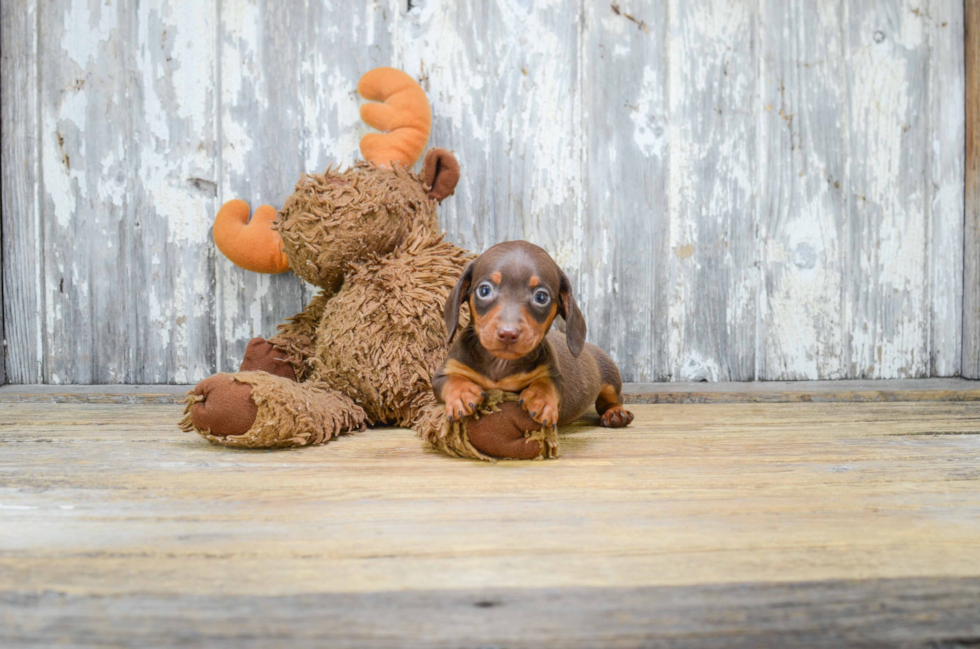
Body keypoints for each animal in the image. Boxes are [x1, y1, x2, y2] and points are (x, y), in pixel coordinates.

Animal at [430, 239, 632, 430]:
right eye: (484, 290)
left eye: (541, 297)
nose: (508, 333)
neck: (500, 364)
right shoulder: (444, 372)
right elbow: (452, 379)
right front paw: (462, 394)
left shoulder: (554, 375)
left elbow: (547, 384)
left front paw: (540, 400)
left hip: (611, 378)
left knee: (611, 400)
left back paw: (615, 413)